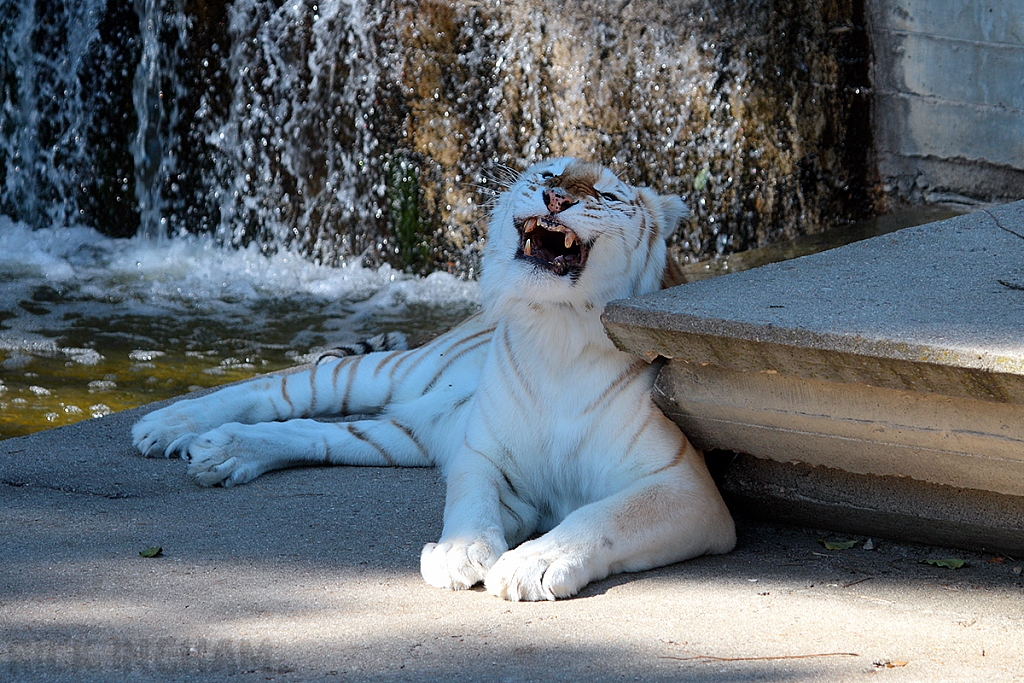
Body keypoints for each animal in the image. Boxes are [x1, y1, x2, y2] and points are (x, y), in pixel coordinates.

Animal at [132, 157, 737, 602]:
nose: (555, 198)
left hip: (403, 435)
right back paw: (168, 425)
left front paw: (530, 565)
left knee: (316, 433)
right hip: (394, 374)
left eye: (606, 196)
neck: (557, 334)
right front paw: (458, 553)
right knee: (277, 386)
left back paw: (225, 452)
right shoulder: (483, 454)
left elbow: (600, 515)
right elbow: (469, 501)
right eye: (549, 173)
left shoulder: (686, 486)